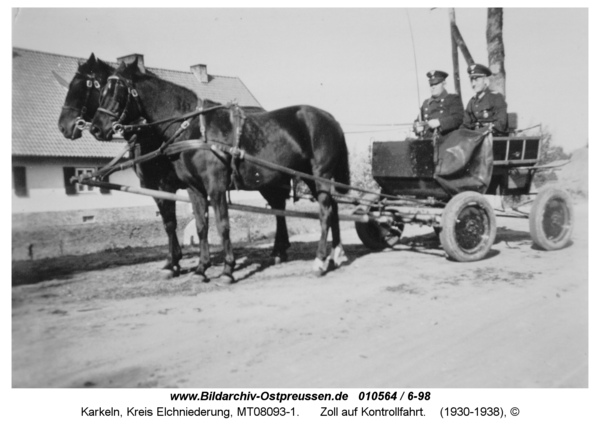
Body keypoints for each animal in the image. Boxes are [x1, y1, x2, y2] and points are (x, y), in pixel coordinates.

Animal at [59, 53, 185, 280]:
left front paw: (174, 263)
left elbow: (171, 221)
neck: (149, 134)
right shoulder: (151, 186)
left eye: (83, 86)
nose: (63, 126)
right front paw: (173, 260)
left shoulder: (165, 185)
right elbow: (165, 220)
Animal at [89, 58, 352, 282]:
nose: (95, 128)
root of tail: (331, 118)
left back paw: (319, 261)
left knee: (325, 212)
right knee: (332, 208)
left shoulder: (215, 186)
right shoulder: (194, 189)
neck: (192, 128)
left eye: (116, 91)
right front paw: (201, 268)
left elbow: (222, 225)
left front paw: (227, 269)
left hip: (320, 174)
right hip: (311, 178)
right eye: (100, 91)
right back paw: (336, 254)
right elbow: (201, 226)